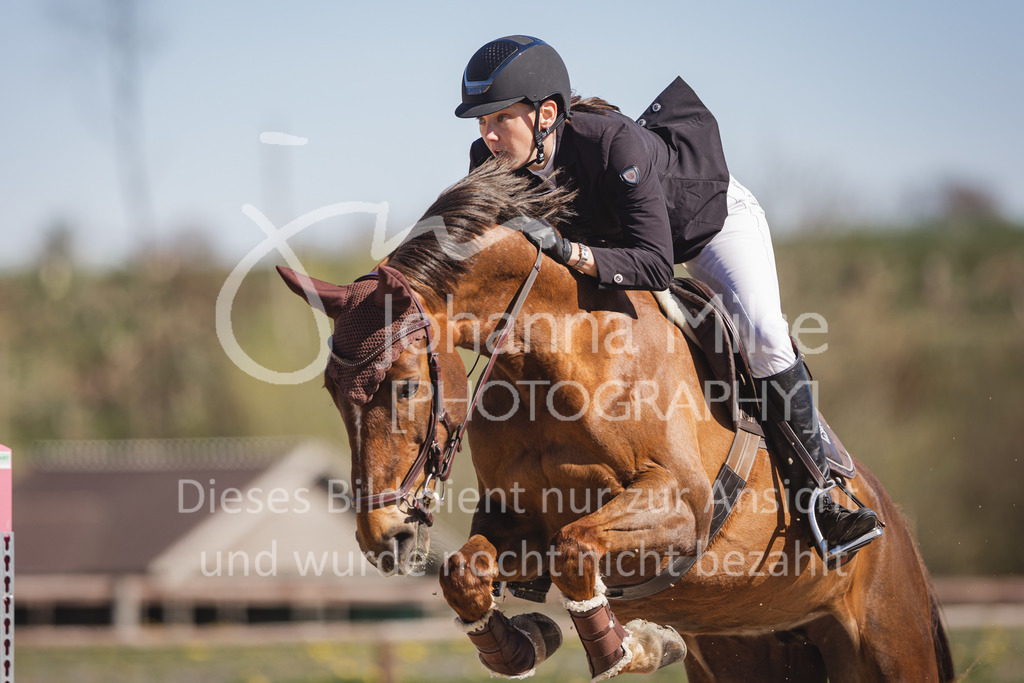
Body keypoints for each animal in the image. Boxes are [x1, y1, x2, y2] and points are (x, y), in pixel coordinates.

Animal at [278, 162, 955, 682]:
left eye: (407, 385)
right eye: (332, 393)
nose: (382, 537)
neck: (550, 361)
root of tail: (899, 529)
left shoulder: (681, 508)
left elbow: (577, 549)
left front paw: (633, 647)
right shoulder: (520, 521)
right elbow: (466, 571)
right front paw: (521, 645)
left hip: (891, 645)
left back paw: (841, 515)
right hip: (749, 650)